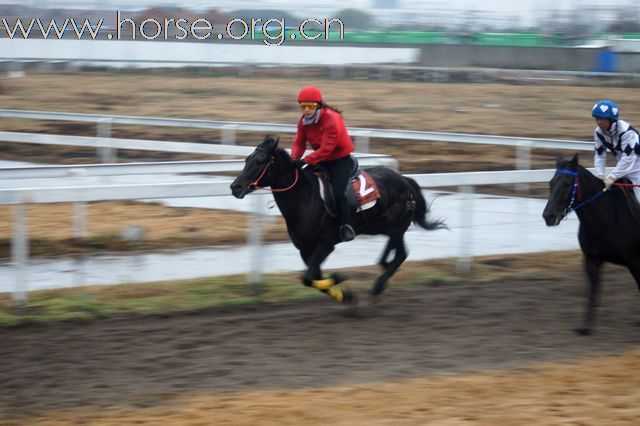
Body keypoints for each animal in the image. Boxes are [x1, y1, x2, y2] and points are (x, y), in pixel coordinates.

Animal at [230, 135, 444, 304]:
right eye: (247, 159)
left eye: (260, 161)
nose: (235, 187)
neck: (305, 198)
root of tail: (405, 180)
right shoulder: (305, 248)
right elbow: (312, 278)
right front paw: (345, 295)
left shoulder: (325, 245)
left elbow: (309, 277)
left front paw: (340, 277)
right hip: (380, 226)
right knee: (395, 253)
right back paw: (382, 273)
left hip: (396, 225)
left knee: (400, 254)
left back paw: (377, 286)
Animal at [544, 155, 640, 334]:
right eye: (551, 183)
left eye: (567, 183)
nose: (548, 216)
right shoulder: (591, 259)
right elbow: (593, 291)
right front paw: (585, 327)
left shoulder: (636, 262)